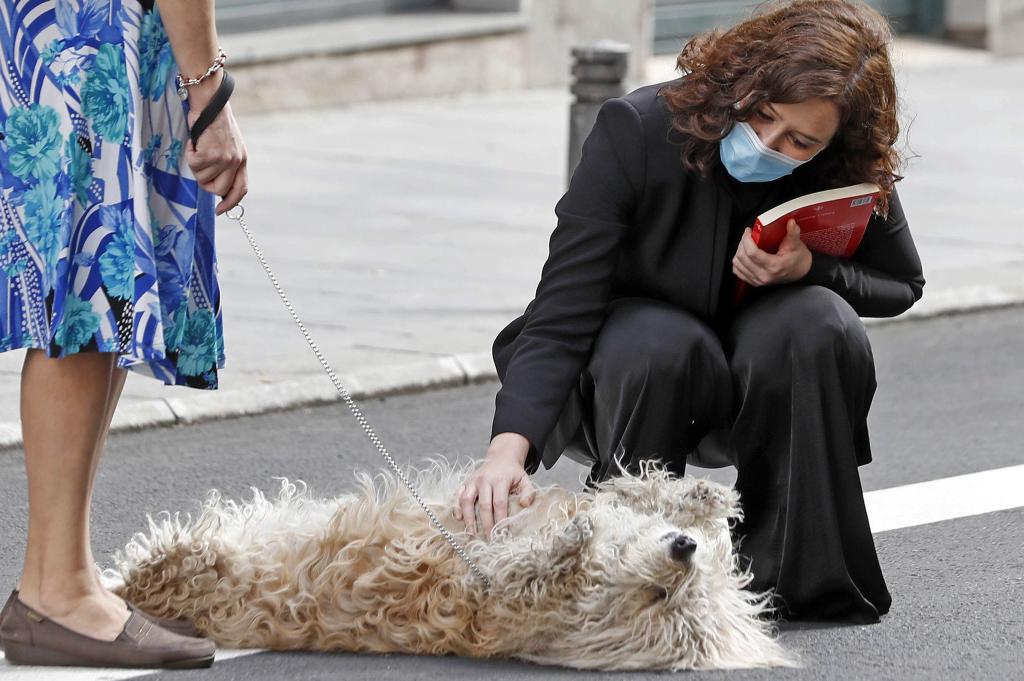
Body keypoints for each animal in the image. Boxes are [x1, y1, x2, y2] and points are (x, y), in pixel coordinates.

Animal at [108, 456, 794, 667]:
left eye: (664, 600)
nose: (683, 552)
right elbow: (627, 495)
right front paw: (704, 498)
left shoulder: (498, 596)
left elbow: (531, 570)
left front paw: (569, 544)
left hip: (217, 581)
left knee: (168, 567)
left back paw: (166, 550)